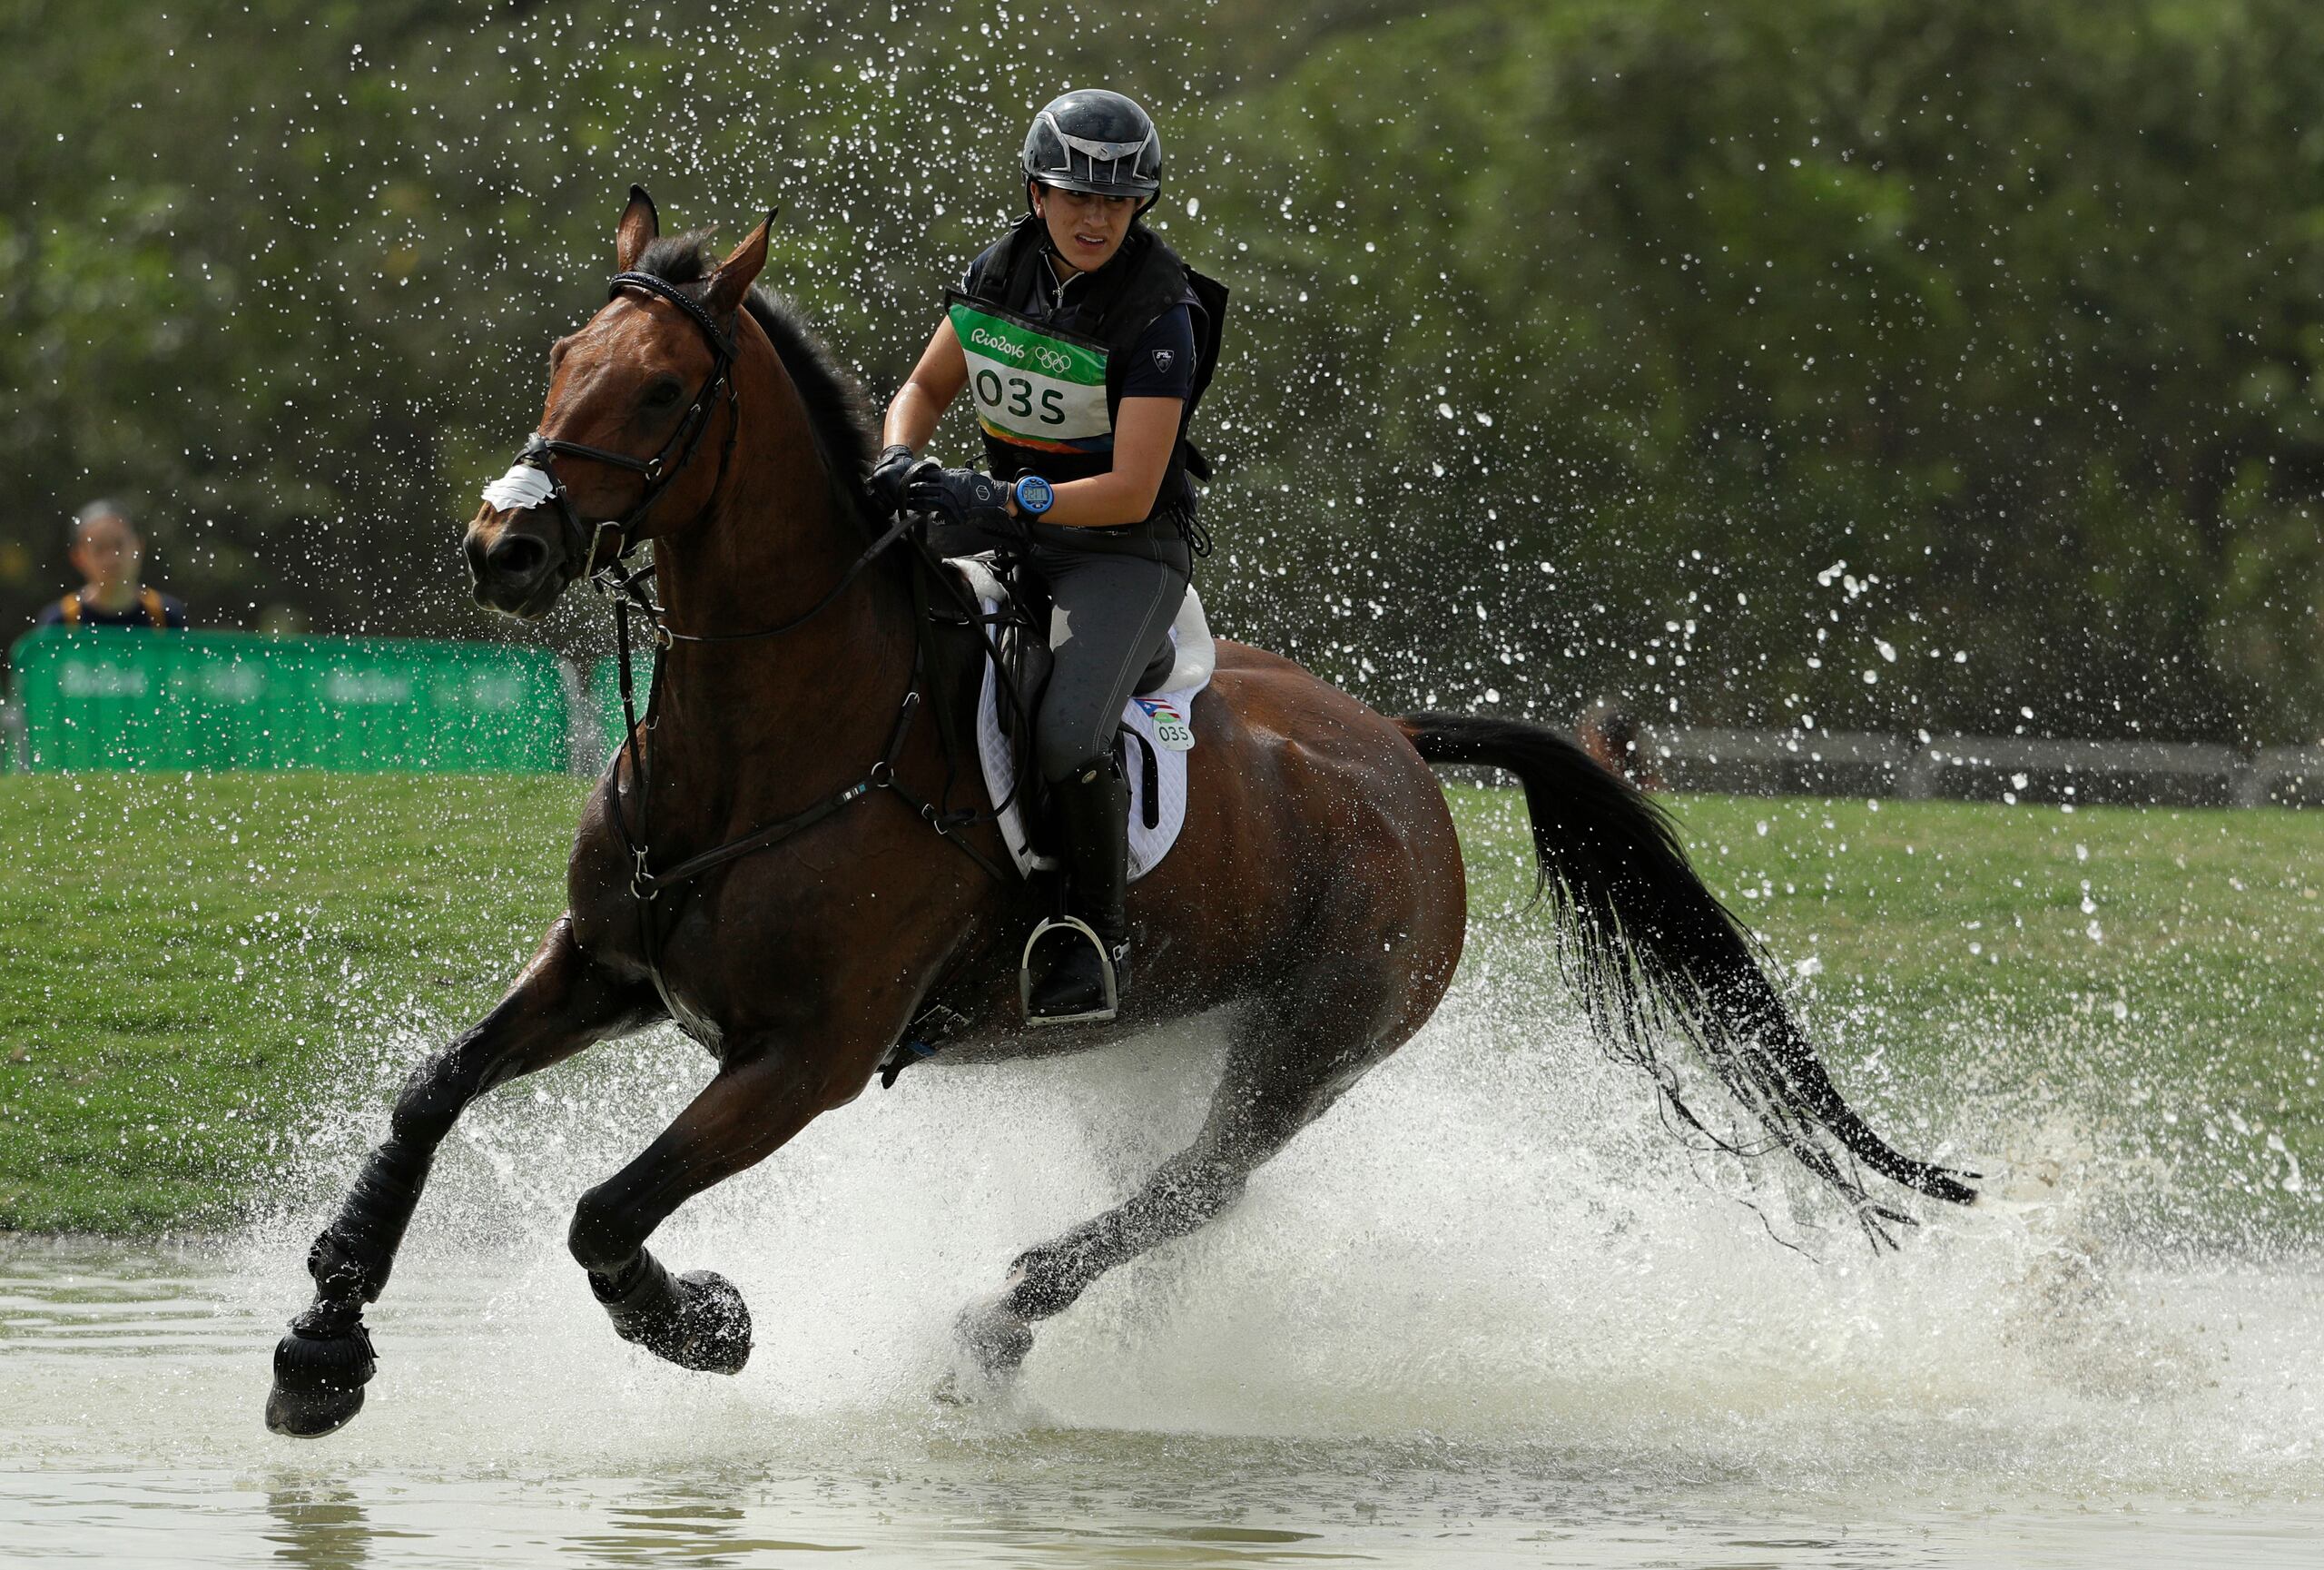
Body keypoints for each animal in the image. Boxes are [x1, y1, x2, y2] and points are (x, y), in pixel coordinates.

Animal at [263, 193, 1970, 1432]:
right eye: (564, 357)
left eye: (668, 388)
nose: (504, 545)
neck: (768, 734)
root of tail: (1401, 747)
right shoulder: (608, 968)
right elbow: (430, 1090)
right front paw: (320, 1344)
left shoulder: (801, 1058)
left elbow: (606, 1210)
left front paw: (705, 1323)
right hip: (1143, 1034)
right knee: (1181, 1196)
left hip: (1313, 1040)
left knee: (1201, 1186)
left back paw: (993, 1322)